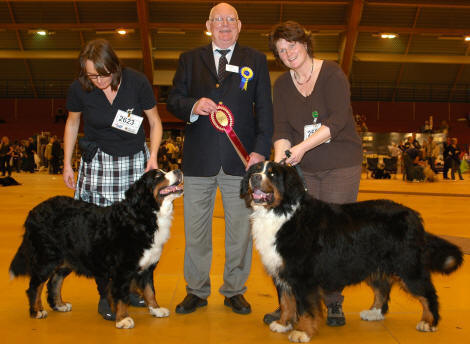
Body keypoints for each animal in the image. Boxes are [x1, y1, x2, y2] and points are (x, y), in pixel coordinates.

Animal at [8, 168, 184, 330]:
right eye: (157, 176)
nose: (178, 170)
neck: (143, 216)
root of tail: (33, 211)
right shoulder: (122, 269)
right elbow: (121, 296)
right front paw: (122, 319)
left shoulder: (147, 267)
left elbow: (150, 291)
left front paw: (156, 309)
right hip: (47, 258)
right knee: (35, 285)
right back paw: (37, 311)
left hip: (67, 259)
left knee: (54, 281)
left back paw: (59, 305)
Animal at [242, 163, 462, 342]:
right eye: (255, 170)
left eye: (272, 173)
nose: (255, 178)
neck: (282, 213)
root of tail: (413, 215)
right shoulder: (281, 271)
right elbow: (287, 301)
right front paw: (283, 323)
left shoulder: (303, 277)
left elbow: (306, 308)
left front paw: (302, 331)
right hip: (374, 264)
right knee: (383, 288)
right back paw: (374, 313)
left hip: (407, 266)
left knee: (427, 293)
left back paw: (429, 322)